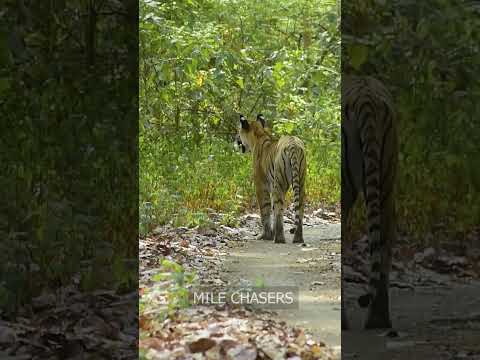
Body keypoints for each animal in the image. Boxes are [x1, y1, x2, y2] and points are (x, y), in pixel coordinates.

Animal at [236, 114, 308, 243]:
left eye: (238, 132)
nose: (234, 139)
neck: (259, 135)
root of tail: (293, 145)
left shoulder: (261, 185)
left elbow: (265, 209)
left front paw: (266, 235)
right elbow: (273, 209)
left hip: (279, 183)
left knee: (279, 210)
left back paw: (279, 239)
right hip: (300, 181)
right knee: (299, 208)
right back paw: (298, 238)